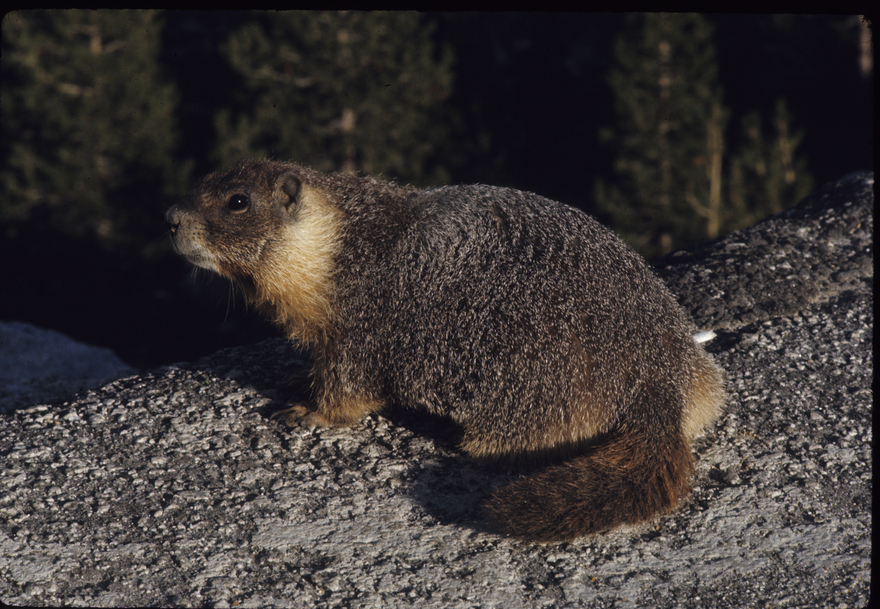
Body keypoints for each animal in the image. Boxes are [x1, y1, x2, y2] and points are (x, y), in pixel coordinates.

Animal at [165, 159, 725, 542]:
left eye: (238, 201)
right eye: (203, 180)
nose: (169, 217)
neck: (336, 241)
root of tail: (659, 383)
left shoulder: (359, 318)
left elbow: (350, 380)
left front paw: (307, 410)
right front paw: (296, 381)